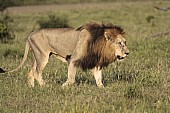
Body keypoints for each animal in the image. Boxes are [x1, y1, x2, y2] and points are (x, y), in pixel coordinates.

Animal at [0, 21, 129, 87]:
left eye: (125, 42)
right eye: (119, 43)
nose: (128, 53)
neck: (98, 43)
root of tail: (30, 34)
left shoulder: (95, 62)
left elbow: (99, 79)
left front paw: (102, 89)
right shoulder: (73, 59)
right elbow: (71, 79)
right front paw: (63, 87)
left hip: (36, 57)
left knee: (31, 72)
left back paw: (32, 88)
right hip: (42, 56)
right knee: (37, 72)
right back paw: (45, 86)